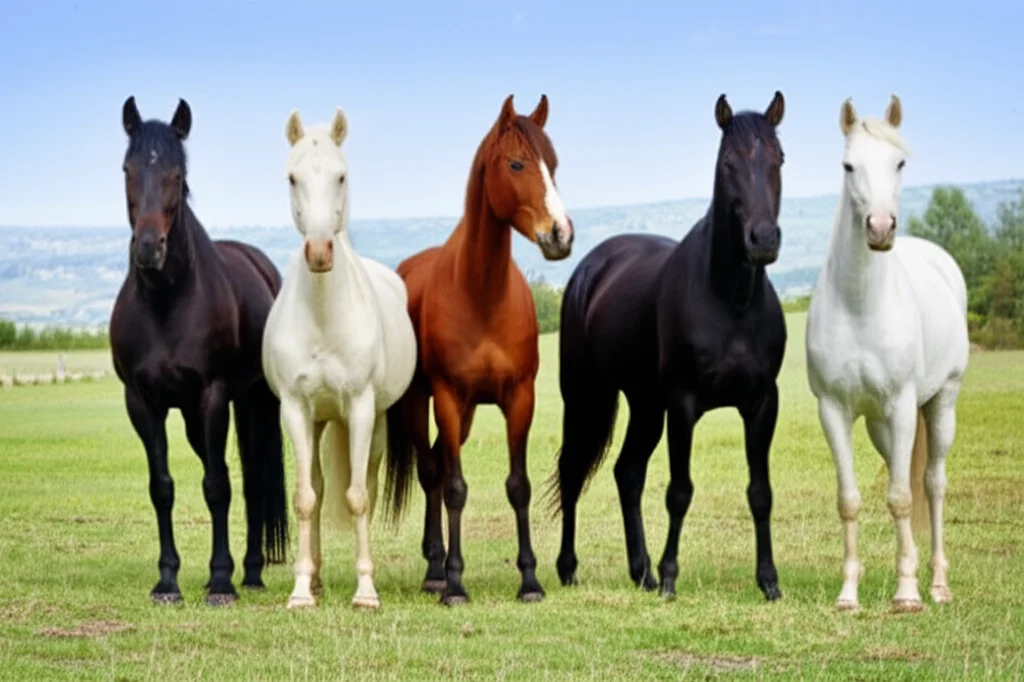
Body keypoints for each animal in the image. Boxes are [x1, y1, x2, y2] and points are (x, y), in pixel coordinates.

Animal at [109, 97, 288, 606]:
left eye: (177, 173)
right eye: (127, 169)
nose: (149, 249)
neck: (168, 301)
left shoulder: (212, 396)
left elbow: (217, 487)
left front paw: (222, 581)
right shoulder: (143, 403)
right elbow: (162, 487)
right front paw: (168, 580)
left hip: (253, 401)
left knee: (251, 481)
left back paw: (250, 572)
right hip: (196, 415)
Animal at [262, 108, 417, 610]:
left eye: (341, 176)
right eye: (292, 177)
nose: (318, 251)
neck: (324, 317)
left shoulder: (363, 408)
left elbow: (358, 497)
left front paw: (366, 590)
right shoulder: (294, 410)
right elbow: (306, 498)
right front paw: (300, 590)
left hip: (373, 423)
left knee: (363, 482)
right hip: (317, 421)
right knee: (318, 484)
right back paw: (315, 578)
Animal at [384, 94, 574, 606]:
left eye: (553, 164)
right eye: (516, 163)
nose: (560, 234)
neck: (483, 294)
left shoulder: (519, 399)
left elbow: (518, 486)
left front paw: (530, 580)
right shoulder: (449, 399)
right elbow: (454, 487)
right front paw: (454, 583)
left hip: (467, 415)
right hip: (421, 404)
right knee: (431, 469)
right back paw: (435, 569)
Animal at [549, 92, 787, 601]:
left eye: (779, 158)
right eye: (727, 163)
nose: (763, 239)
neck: (731, 301)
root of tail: (589, 269)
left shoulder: (762, 404)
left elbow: (760, 492)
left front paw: (769, 581)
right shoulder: (683, 403)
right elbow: (680, 491)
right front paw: (672, 577)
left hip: (644, 404)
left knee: (627, 473)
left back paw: (641, 571)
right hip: (586, 396)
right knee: (574, 470)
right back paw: (569, 567)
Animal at [805, 96, 968, 612]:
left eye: (899, 163)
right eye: (848, 165)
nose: (879, 228)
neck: (861, 306)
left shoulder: (901, 405)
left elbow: (900, 497)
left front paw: (907, 594)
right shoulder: (833, 410)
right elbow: (851, 500)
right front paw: (848, 594)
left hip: (939, 404)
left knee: (932, 484)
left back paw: (937, 584)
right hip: (881, 424)